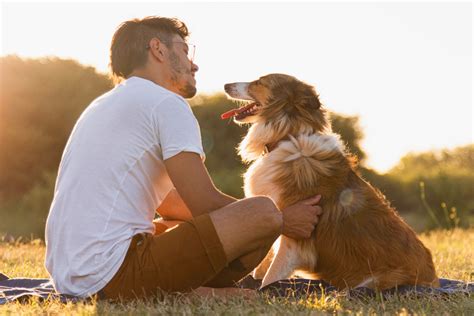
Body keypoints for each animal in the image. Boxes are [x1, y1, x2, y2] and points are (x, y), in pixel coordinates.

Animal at [220, 73, 438, 288]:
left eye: (259, 82)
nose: (225, 85)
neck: (289, 136)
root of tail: (434, 279)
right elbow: (262, 269)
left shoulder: (295, 240)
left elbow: (269, 279)